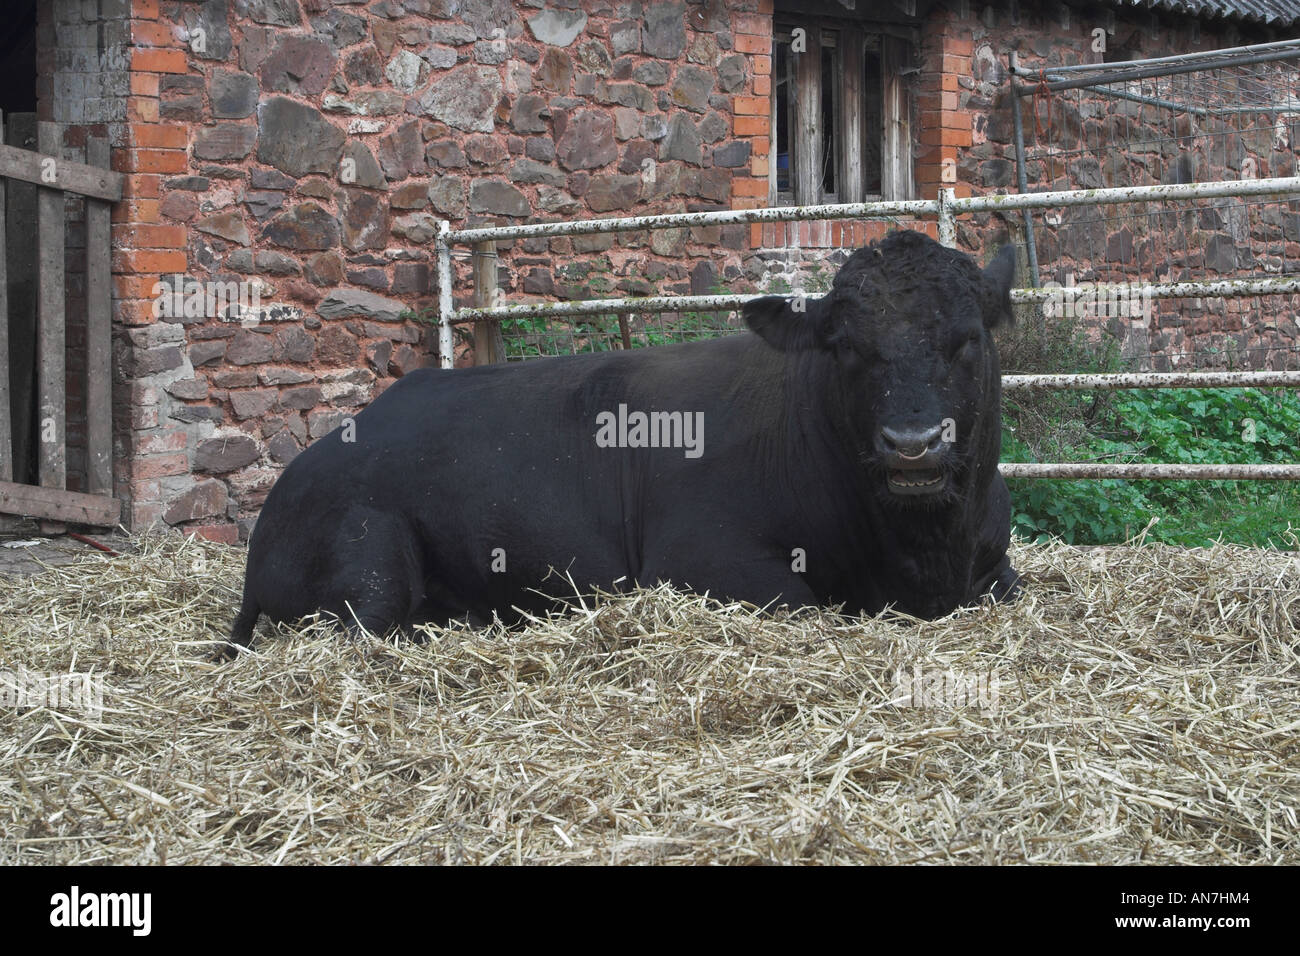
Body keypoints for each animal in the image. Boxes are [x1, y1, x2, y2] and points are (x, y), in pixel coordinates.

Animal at [231, 231, 1024, 658]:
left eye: (968, 339)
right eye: (848, 348)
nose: (912, 443)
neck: (920, 553)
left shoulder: (996, 565)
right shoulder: (701, 558)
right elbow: (802, 605)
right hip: (371, 558)